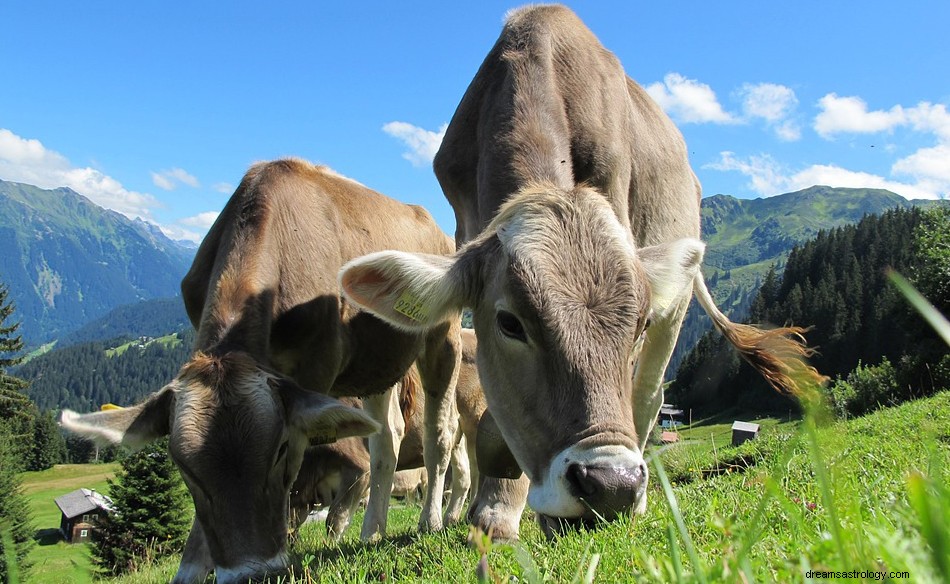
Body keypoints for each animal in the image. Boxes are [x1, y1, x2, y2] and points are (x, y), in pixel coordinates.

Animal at [59, 157, 462, 580]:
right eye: (183, 468)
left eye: (280, 450)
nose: (252, 574)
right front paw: (192, 569)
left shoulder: (315, 370)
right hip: (376, 364)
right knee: (388, 437)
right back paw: (372, 531)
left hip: (443, 336)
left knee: (440, 432)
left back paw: (432, 520)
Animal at [290, 330, 488, 540]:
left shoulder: (358, 468)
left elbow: (335, 518)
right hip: (458, 436)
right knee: (463, 473)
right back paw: (451, 517)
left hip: (474, 419)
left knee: (476, 466)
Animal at [342, 4, 824, 540]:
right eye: (509, 323)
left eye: (638, 323)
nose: (612, 485)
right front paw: (494, 510)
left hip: (676, 307)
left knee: (649, 395)